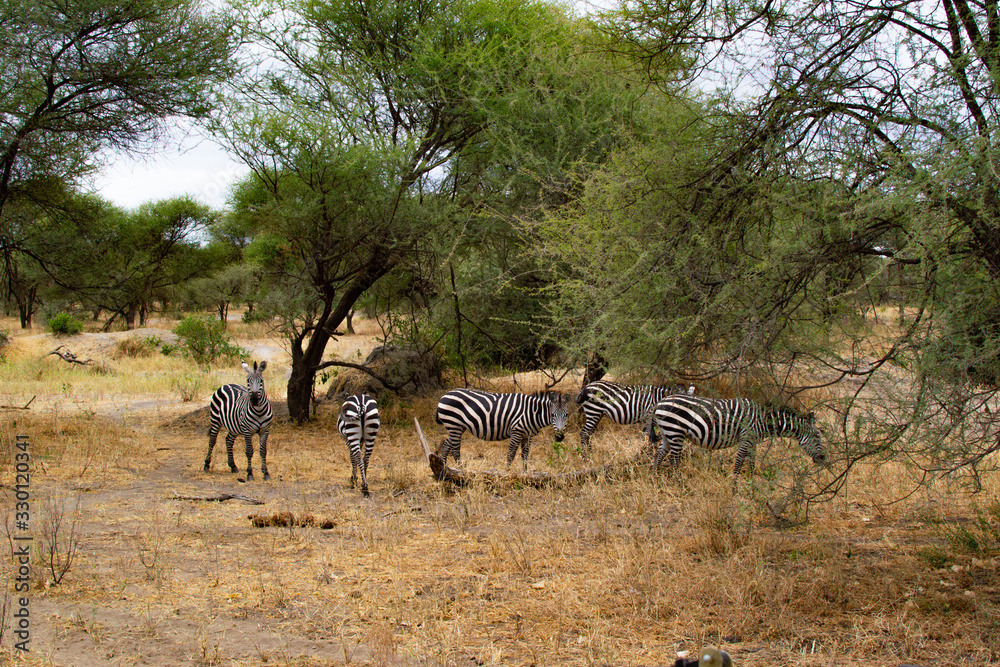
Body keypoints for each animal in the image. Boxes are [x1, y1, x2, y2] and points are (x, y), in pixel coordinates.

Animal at [435, 389, 572, 468]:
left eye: (566, 415)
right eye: (553, 415)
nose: (559, 437)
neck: (532, 412)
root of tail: (444, 395)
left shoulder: (527, 436)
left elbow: (525, 456)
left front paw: (525, 474)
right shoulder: (517, 432)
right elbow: (511, 455)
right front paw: (507, 473)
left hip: (457, 427)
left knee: (446, 446)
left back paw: (444, 470)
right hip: (454, 425)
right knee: (455, 451)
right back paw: (461, 471)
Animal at [649, 395, 825, 477]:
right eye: (817, 436)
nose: (823, 459)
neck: (763, 420)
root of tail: (660, 402)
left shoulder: (753, 443)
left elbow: (752, 463)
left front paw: (751, 485)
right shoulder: (745, 439)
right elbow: (739, 462)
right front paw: (735, 489)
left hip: (667, 432)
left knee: (659, 454)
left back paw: (655, 478)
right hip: (675, 432)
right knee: (674, 460)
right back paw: (679, 482)